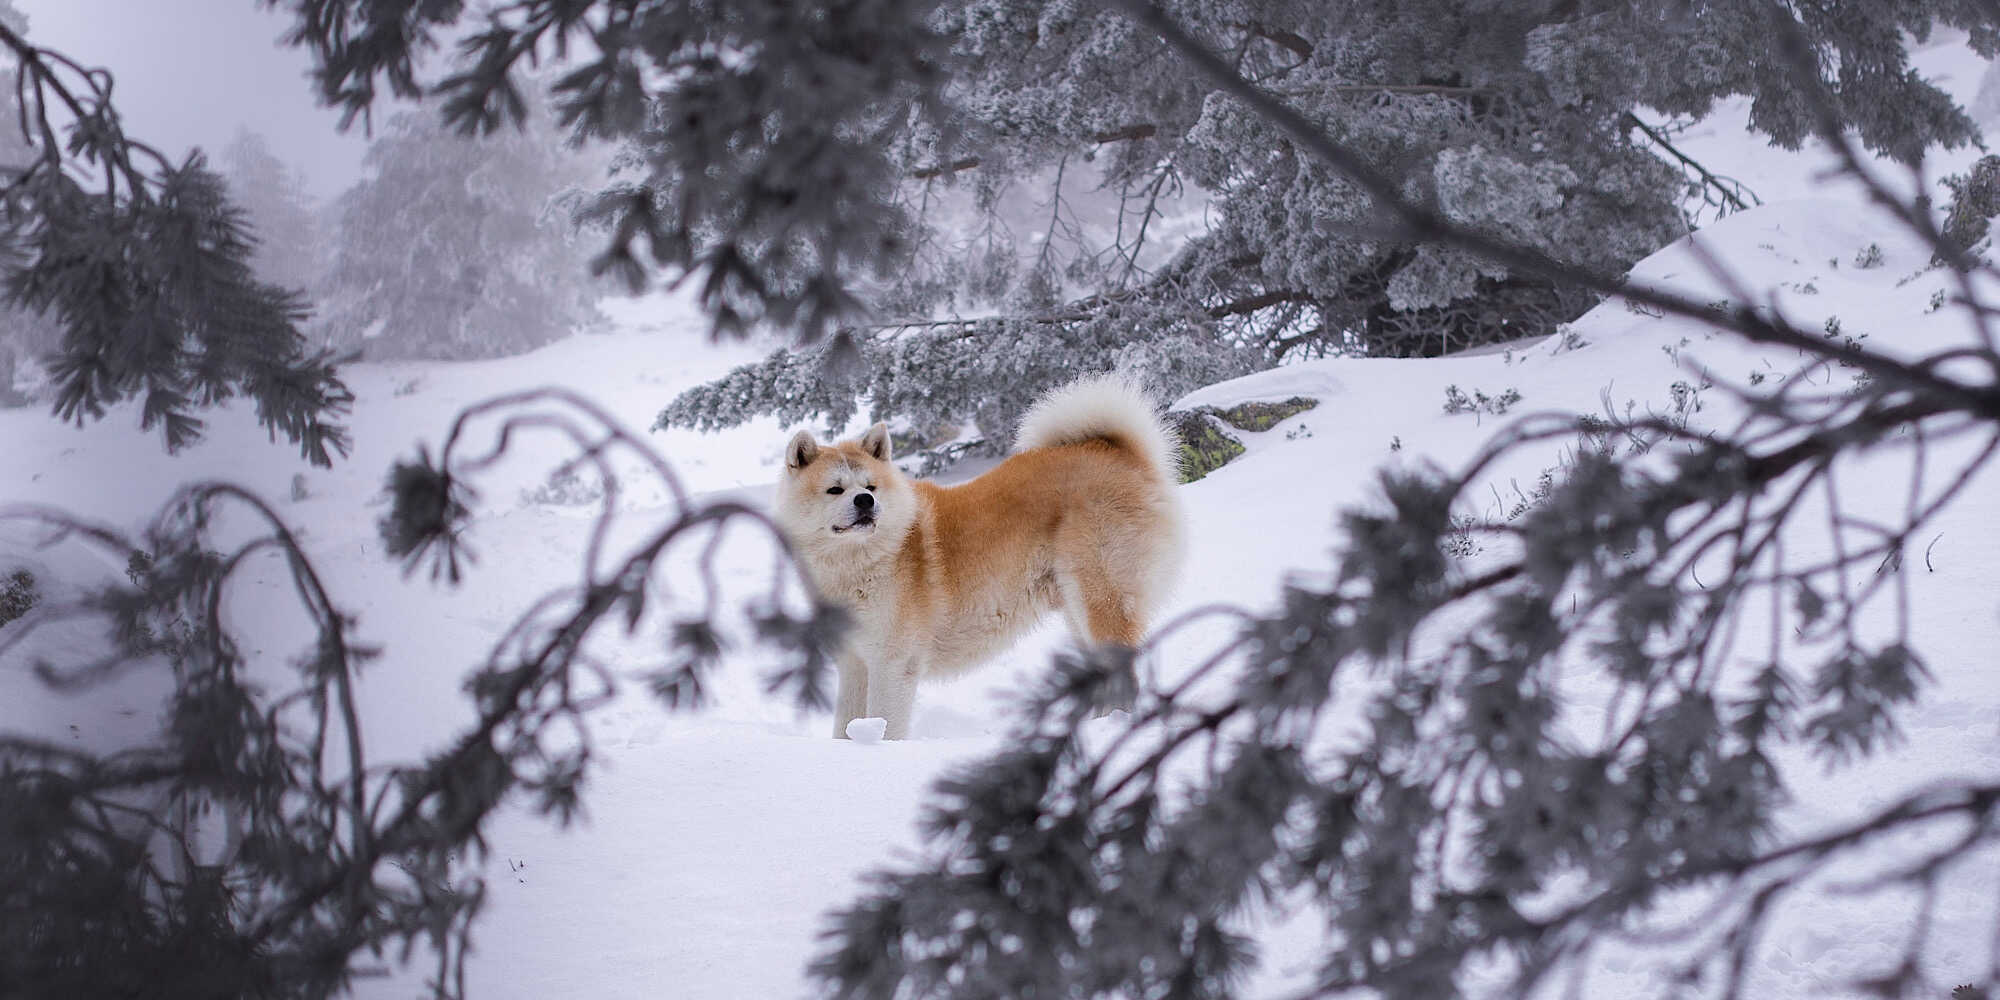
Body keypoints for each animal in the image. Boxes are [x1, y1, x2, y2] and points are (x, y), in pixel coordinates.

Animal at [768, 376, 1176, 736]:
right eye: (835, 490)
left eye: (871, 486)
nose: (866, 501)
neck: (861, 561)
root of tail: (1118, 451)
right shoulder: (854, 663)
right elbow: (846, 727)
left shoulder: (892, 664)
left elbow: (884, 725)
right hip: (1077, 612)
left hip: (1101, 600)